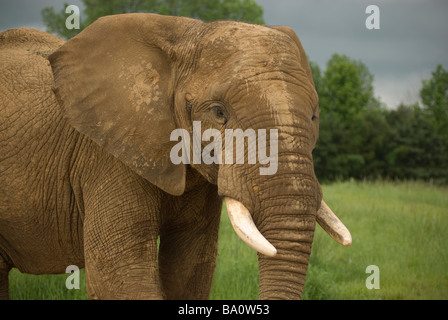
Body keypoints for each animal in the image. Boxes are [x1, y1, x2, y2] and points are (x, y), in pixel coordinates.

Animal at [0, 13, 350, 300]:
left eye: (314, 116)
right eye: (219, 112)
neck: (184, 34)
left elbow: (191, 268)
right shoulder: (106, 156)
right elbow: (121, 276)